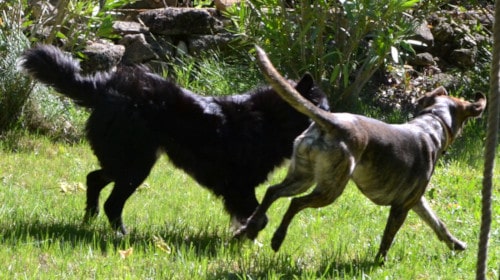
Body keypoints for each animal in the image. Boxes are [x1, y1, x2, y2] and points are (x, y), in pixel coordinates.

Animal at [19, 45, 328, 234]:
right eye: (321, 109)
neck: (271, 120)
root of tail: (103, 88)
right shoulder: (239, 186)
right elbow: (259, 218)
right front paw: (246, 236)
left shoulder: (240, 187)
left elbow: (256, 216)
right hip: (135, 166)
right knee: (111, 203)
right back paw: (121, 236)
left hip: (125, 162)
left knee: (94, 178)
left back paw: (89, 219)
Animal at [236, 46, 486, 262]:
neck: (432, 124)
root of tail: (331, 122)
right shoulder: (402, 207)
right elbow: (388, 238)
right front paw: (378, 263)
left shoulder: (415, 200)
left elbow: (437, 223)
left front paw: (455, 244)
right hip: (330, 188)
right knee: (296, 203)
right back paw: (277, 238)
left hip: (303, 176)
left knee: (272, 192)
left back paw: (250, 227)